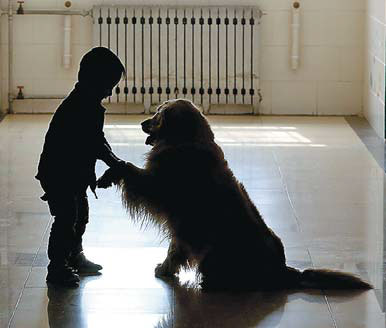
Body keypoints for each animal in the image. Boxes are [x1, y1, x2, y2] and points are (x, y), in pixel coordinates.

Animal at [98, 98, 372, 290]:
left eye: (159, 114)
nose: (142, 123)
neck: (187, 140)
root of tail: (283, 270)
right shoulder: (179, 223)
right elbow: (175, 249)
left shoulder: (158, 188)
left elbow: (129, 168)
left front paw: (112, 170)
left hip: (212, 251)